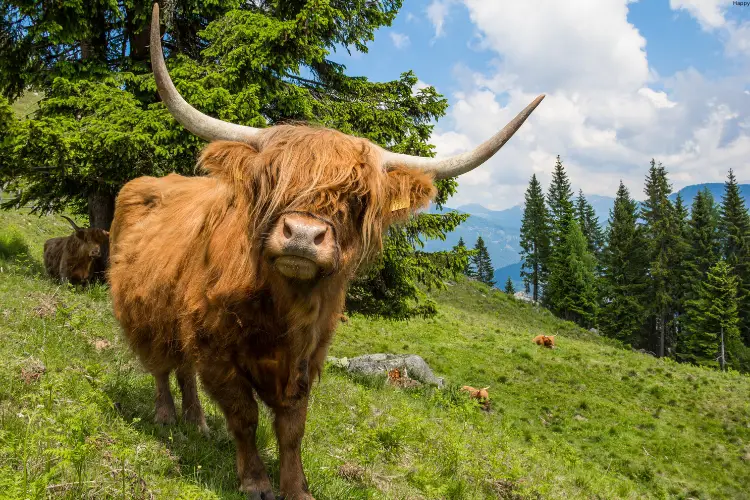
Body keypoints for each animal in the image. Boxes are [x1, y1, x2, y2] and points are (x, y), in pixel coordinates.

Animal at [107, 4, 548, 500]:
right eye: (272, 180)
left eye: (357, 198)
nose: (301, 235)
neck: (281, 312)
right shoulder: (214, 347)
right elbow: (244, 415)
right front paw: (255, 481)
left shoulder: (308, 357)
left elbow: (292, 427)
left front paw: (297, 488)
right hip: (143, 311)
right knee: (162, 365)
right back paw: (167, 416)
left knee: (182, 370)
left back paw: (197, 422)